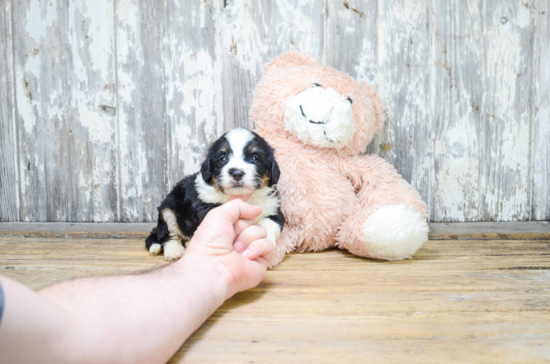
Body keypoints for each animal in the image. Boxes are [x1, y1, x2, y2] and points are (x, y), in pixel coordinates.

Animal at [147, 128, 284, 262]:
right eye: (223, 158)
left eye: (254, 158)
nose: (237, 173)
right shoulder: (204, 206)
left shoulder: (273, 208)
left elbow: (270, 222)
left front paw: (267, 240)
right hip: (168, 206)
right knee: (167, 234)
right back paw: (174, 250)